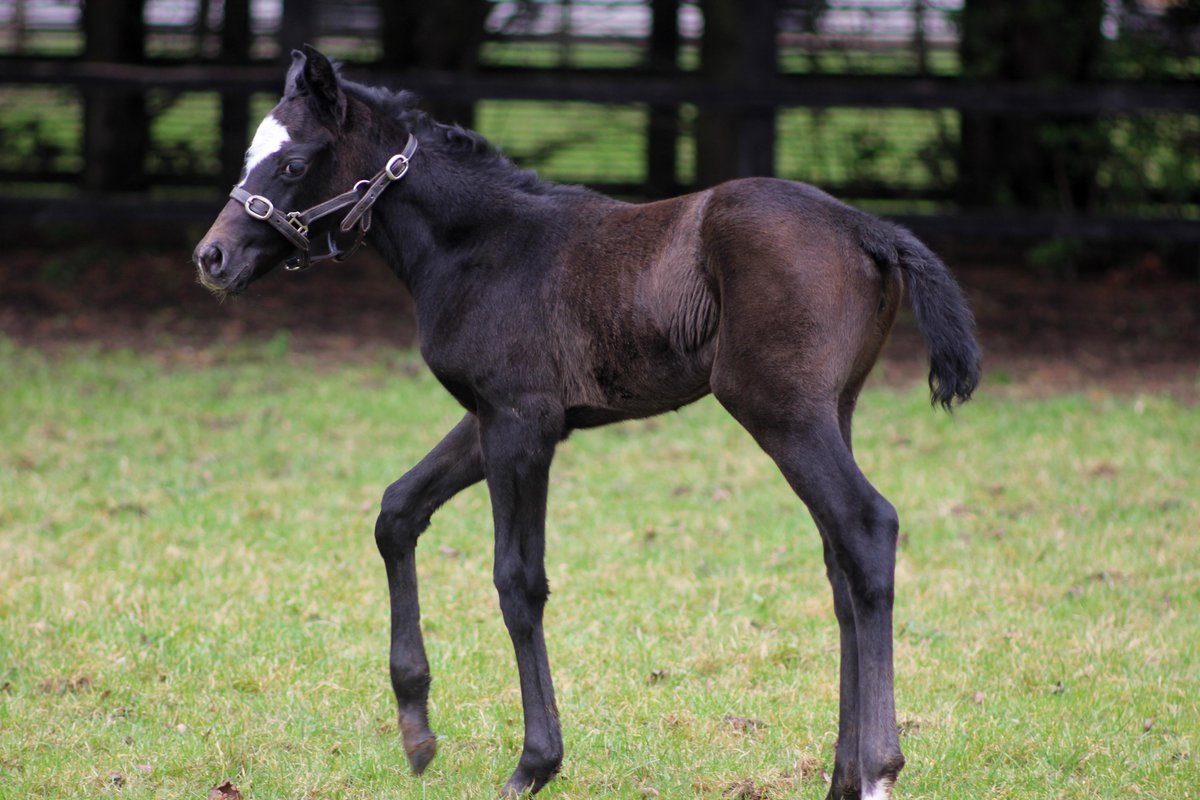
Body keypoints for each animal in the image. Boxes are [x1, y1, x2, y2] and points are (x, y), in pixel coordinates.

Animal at [194, 45, 981, 799]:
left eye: (294, 163)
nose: (212, 257)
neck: (480, 245)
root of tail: (867, 226)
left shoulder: (520, 423)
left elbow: (518, 581)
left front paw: (533, 764)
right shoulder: (498, 418)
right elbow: (397, 512)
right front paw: (417, 730)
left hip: (782, 412)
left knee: (867, 526)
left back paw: (878, 770)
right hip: (832, 409)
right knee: (841, 565)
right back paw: (841, 777)